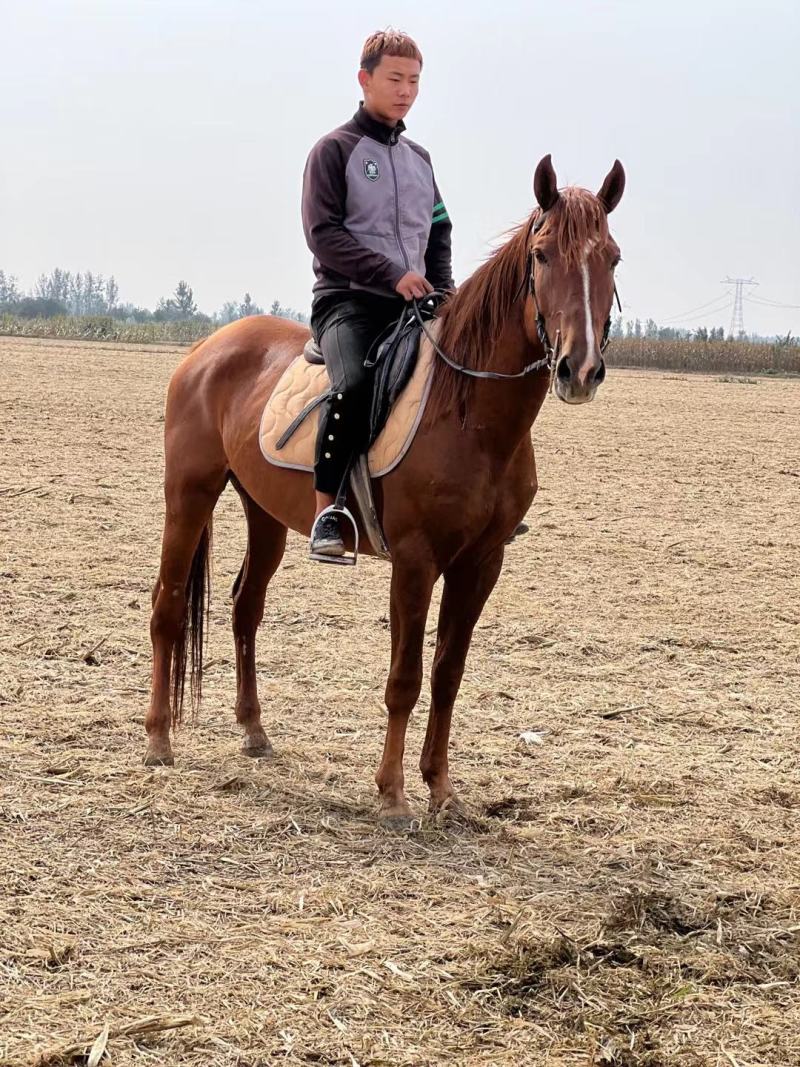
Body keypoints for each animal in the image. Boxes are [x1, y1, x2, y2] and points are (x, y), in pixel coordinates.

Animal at [145, 154, 625, 827]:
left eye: (612, 257)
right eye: (543, 253)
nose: (579, 370)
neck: (468, 410)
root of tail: (207, 349)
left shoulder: (481, 563)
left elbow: (448, 674)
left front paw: (441, 788)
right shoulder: (416, 560)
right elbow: (406, 677)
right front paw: (393, 794)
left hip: (263, 512)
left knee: (245, 608)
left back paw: (254, 731)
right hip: (188, 495)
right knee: (166, 607)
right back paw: (159, 739)